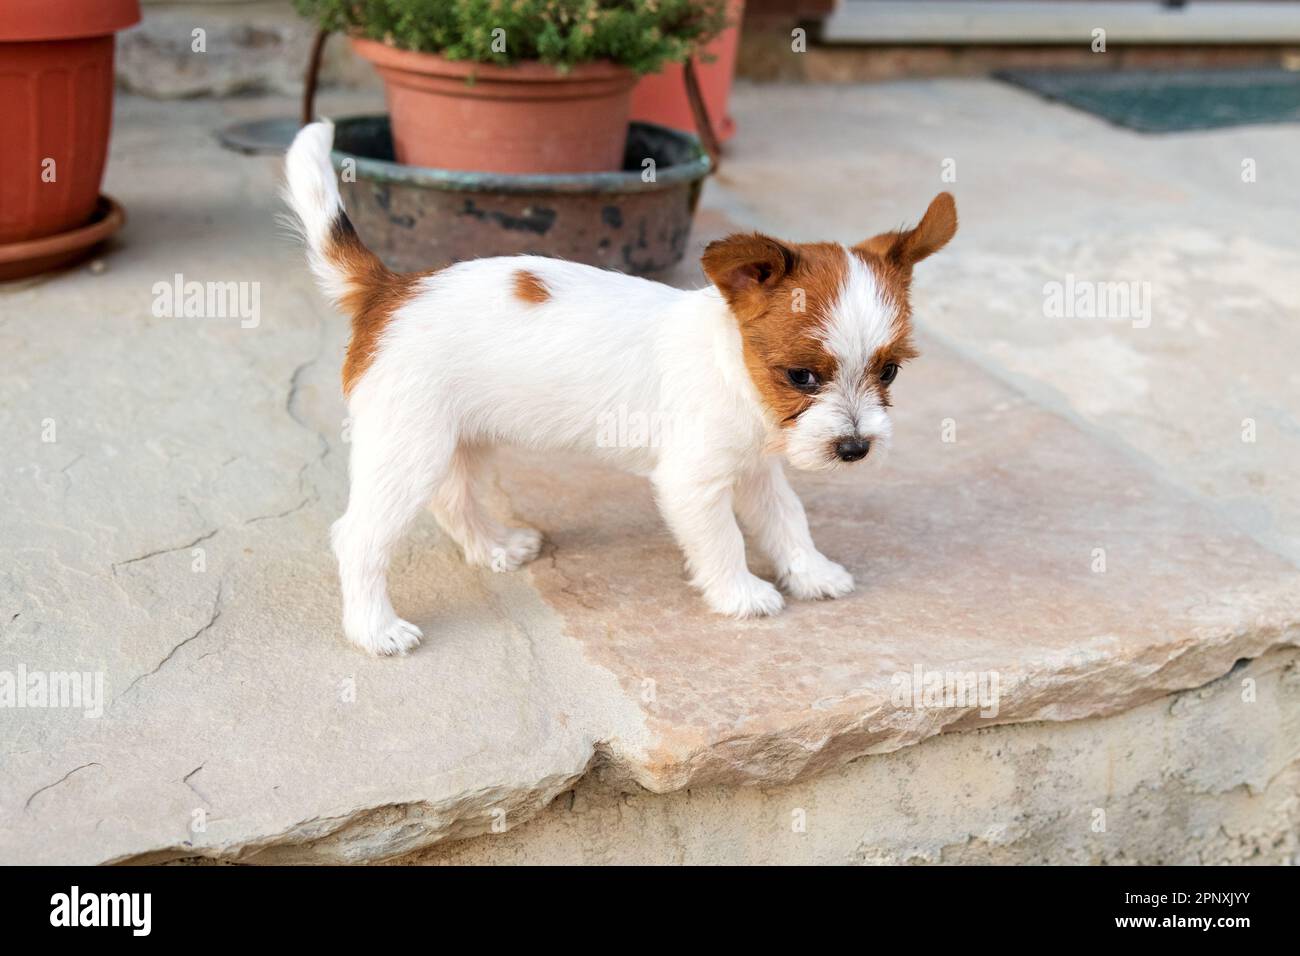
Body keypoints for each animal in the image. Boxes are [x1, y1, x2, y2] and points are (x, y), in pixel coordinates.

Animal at [287, 121, 956, 658]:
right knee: (358, 538)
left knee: (453, 500)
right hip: (409, 449)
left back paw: (496, 547)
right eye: (802, 376)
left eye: (889, 372)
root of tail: (389, 289)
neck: (732, 368)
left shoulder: (756, 470)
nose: (855, 449)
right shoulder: (693, 483)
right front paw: (741, 594)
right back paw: (375, 630)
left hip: (457, 438)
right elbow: (725, 540)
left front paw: (811, 573)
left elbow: (787, 519)